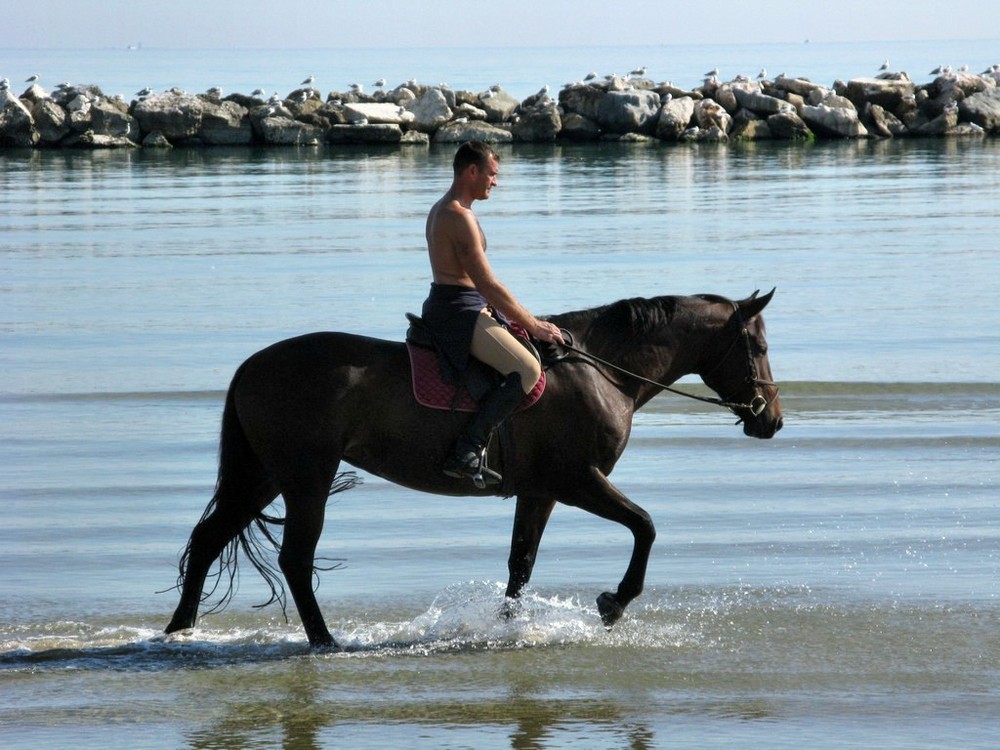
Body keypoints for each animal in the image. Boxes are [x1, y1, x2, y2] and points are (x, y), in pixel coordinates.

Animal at [166, 290, 780, 648]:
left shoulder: (540, 492)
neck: (599, 370)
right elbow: (645, 526)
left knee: (209, 539)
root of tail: (253, 365)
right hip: (304, 479)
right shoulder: (578, 480)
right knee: (294, 558)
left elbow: (521, 563)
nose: (770, 419)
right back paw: (323, 641)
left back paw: (179, 630)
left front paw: (508, 630)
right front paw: (613, 605)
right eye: (758, 345)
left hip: (264, 476)